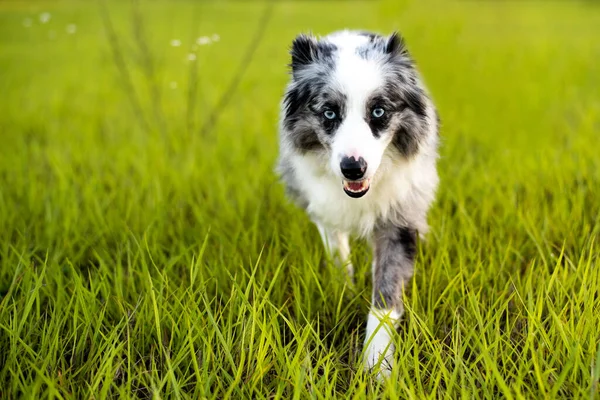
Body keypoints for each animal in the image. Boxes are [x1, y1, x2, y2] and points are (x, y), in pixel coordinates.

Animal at [278, 30, 440, 376]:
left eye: (379, 111)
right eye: (328, 113)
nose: (353, 168)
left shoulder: (399, 218)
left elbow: (385, 298)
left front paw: (376, 367)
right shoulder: (324, 209)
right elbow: (339, 257)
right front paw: (344, 292)